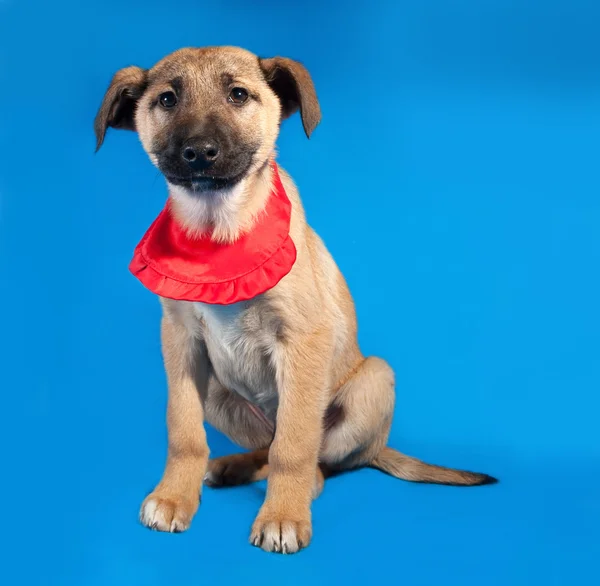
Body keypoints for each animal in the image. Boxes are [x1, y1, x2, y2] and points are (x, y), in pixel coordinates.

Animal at [95, 45, 496, 552]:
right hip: (218, 392)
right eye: (167, 99)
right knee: (265, 446)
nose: (199, 152)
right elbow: (184, 431)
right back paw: (232, 466)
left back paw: (292, 488)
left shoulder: (303, 340)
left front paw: (283, 514)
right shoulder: (181, 341)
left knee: (313, 462)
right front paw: (173, 497)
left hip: (374, 378)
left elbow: (294, 445)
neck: (219, 233)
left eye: (238, 94)